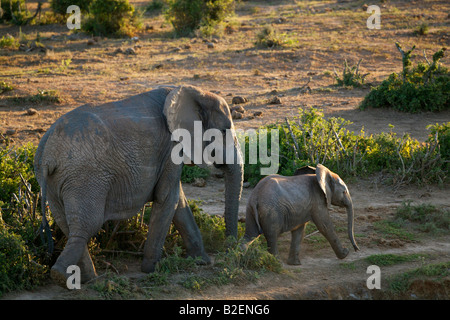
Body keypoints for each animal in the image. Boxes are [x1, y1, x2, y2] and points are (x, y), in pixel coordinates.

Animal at [35, 85, 244, 284]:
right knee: (86, 226)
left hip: (57, 181)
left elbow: (179, 202)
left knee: (67, 225)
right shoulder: (171, 146)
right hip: (84, 177)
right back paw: (64, 276)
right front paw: (152, 269)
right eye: (224, 130)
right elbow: (167, 198)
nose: (229, 249)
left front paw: (201, 262)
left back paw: (85, 279)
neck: (195, 92)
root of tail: (47, 150)